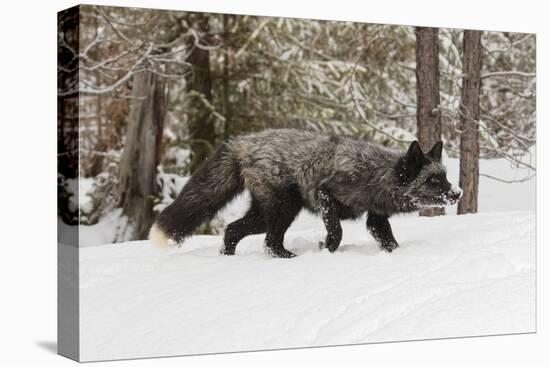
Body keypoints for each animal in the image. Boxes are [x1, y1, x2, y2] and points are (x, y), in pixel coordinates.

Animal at [149, 129, 464, 258]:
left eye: (445, 177)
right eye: (433, 180)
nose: (458, 193)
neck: (376, 172)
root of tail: (243, 142)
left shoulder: (375, 218)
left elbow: (388, 241)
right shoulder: (325, 194)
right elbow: (336, 231)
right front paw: (326, 250)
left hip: (264, 214)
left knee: (232, 230)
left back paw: (227, 257)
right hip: (284, 209)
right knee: (269, 242)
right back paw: (290, 258)